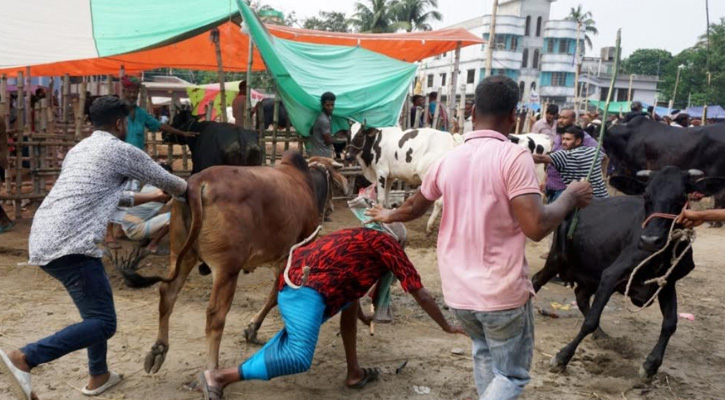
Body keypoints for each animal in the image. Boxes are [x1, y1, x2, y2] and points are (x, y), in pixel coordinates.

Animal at [120, 151, 346, 372]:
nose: (331, 209)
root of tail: (197, 182)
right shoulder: (292, 256)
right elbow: (275, 296)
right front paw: (253, 329)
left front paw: (253, 329)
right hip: (226, 268)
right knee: (215, 314)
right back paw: (212, 370)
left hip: (180, 255)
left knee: (167, 294)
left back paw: (158, 350)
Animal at [532, 167, 724, 380]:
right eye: (646, 195)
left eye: (682, 197)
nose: (650, 240)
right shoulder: (611, 275)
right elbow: (591, 320)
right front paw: (562, 357)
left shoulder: (667, 283)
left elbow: (670, 324)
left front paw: (651, 365)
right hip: (557, 259)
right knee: (536, 280)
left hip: (590, 273)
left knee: (581, 297)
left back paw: (601, 336)